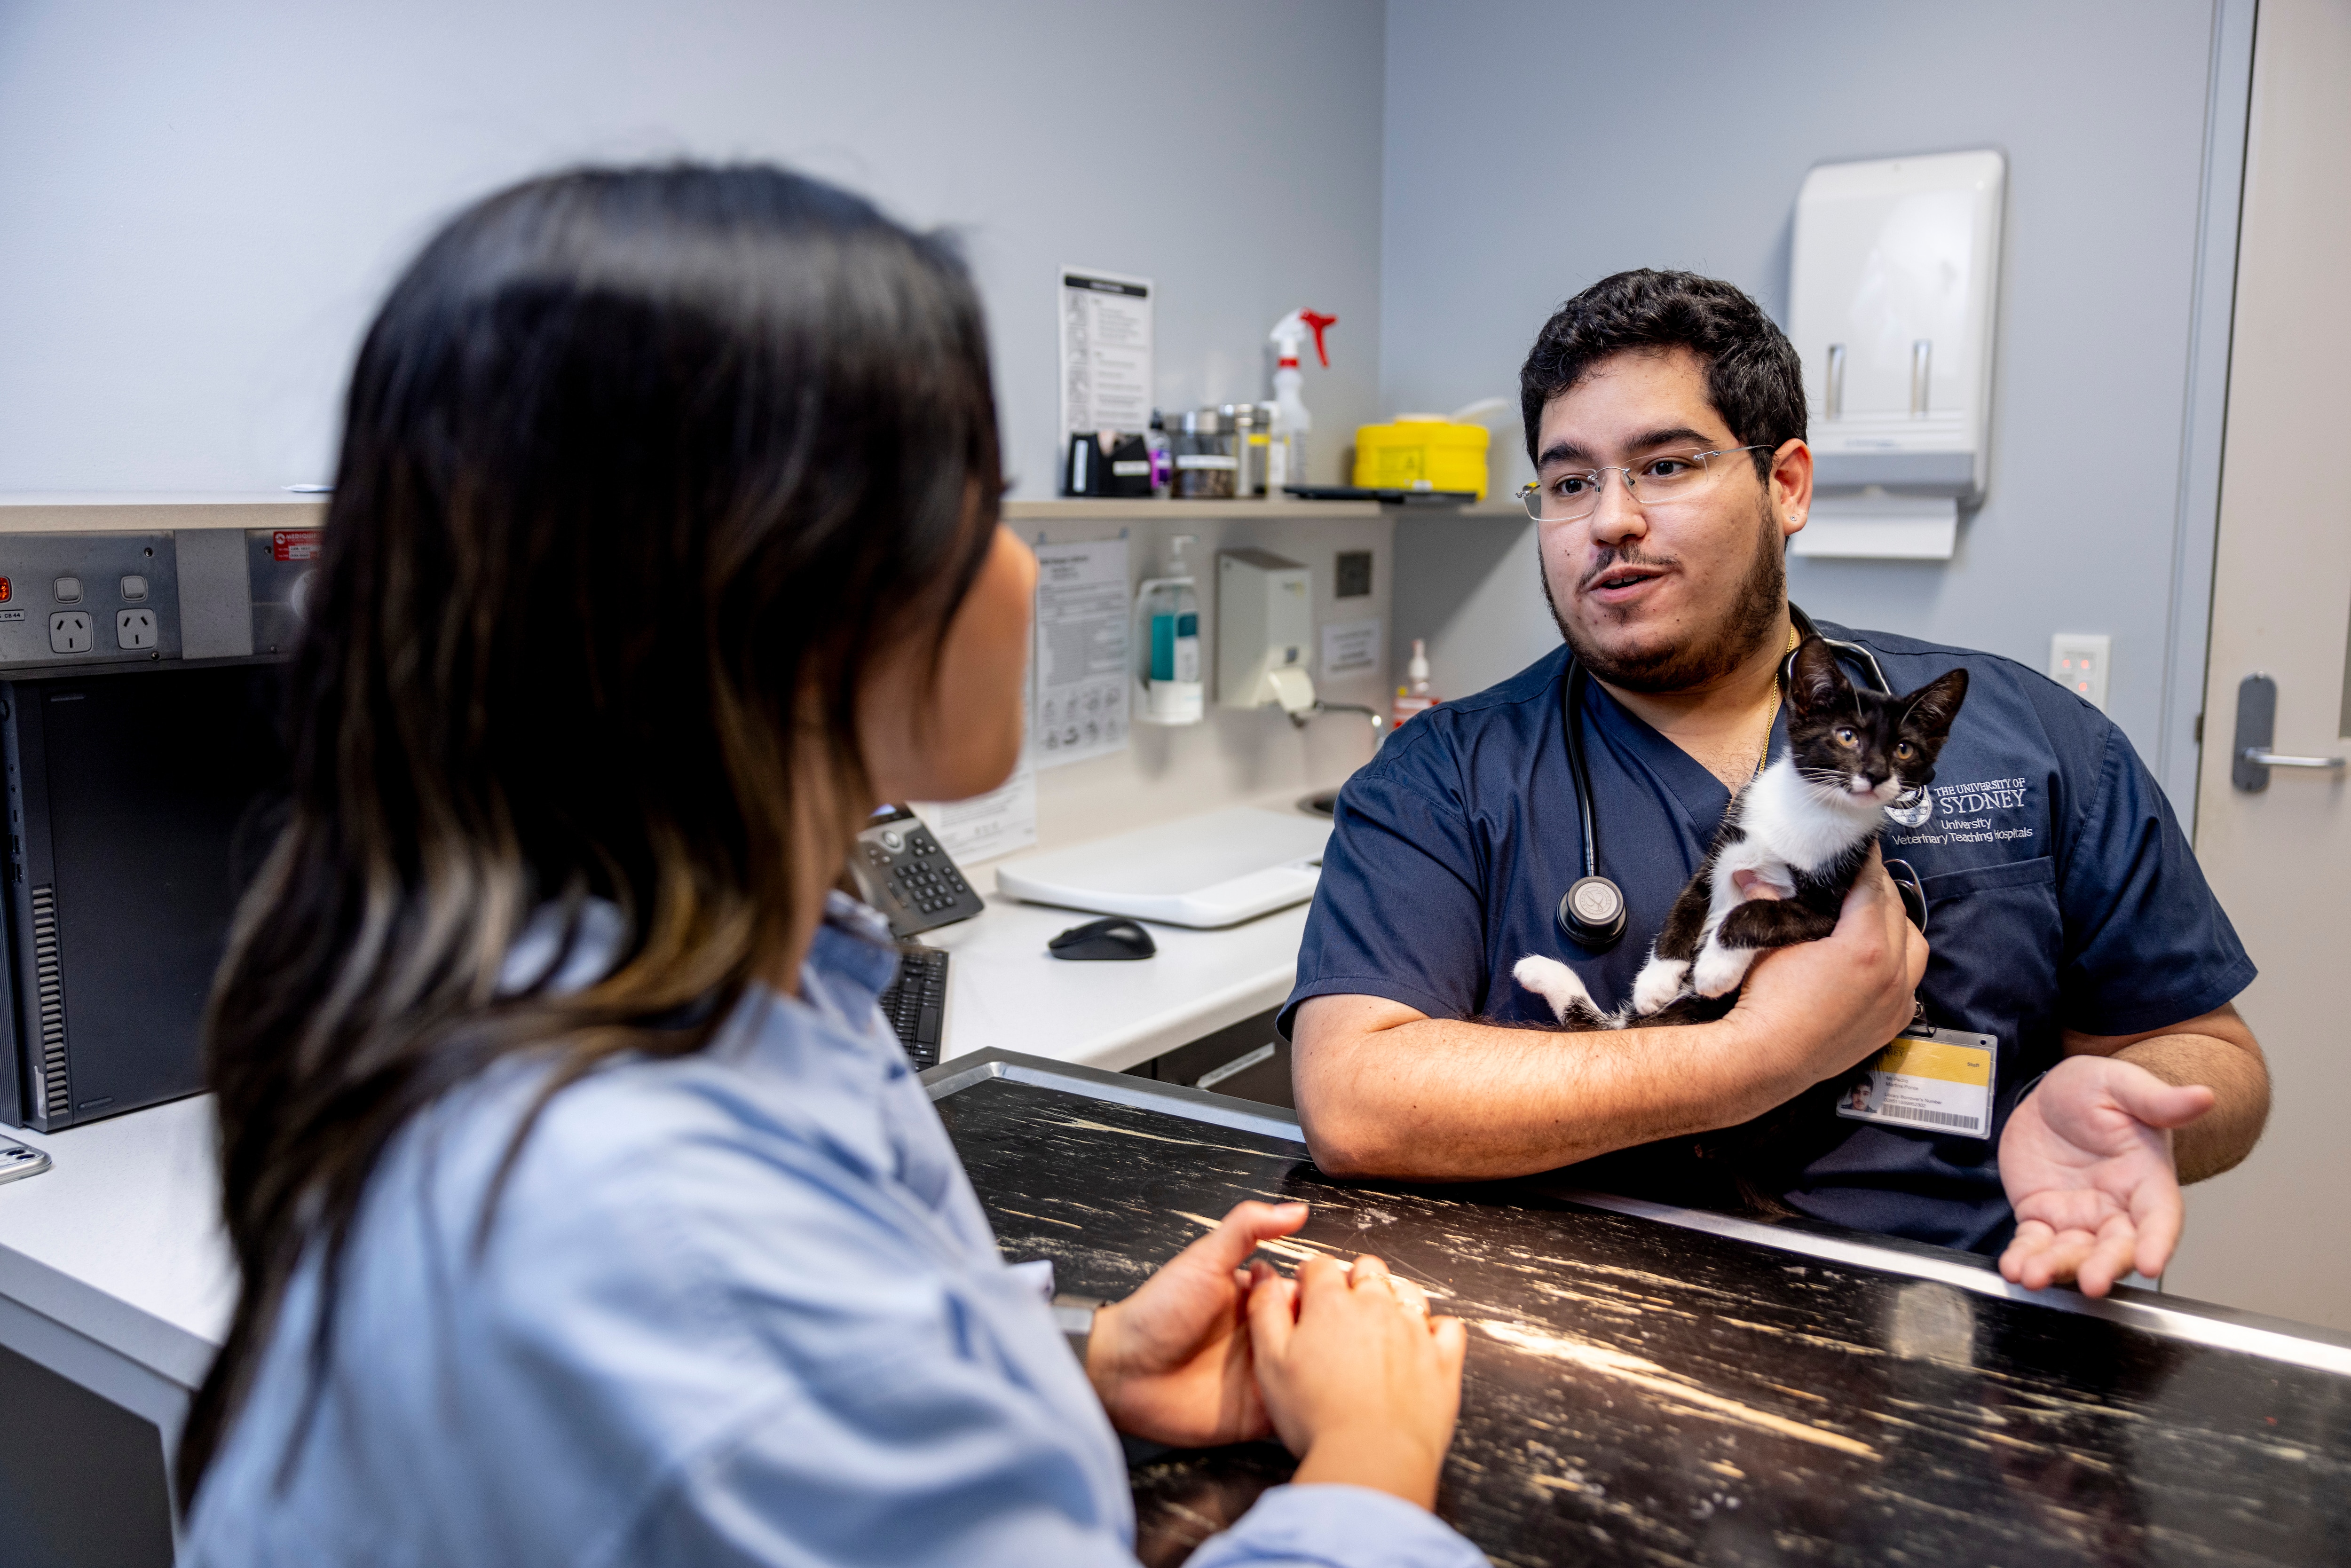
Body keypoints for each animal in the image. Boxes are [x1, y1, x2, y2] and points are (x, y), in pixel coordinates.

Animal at [1505, 639, 1965, 1030]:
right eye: (1846, 736)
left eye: (1904, 749)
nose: (1876, 774)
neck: (1812, 809)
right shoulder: (1725, 847)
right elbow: (1685, 908)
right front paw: (1656, 979)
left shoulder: (1826, 904)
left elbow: (1755, 912)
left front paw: (1715, 967)